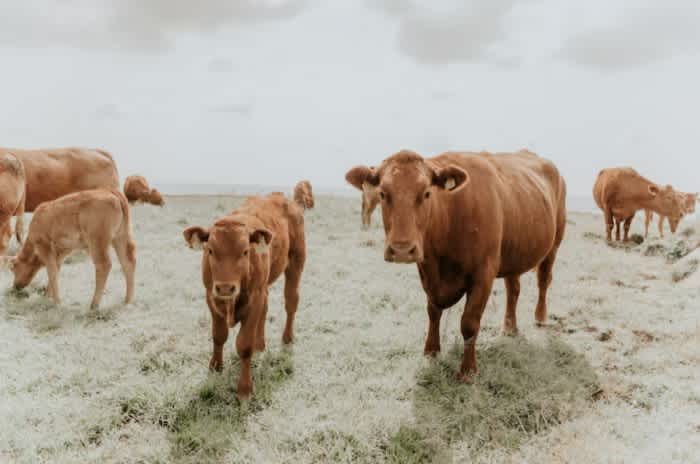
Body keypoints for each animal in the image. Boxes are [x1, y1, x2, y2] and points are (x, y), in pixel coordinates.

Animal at [2, 190, 135, 310]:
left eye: (13, 268)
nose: (16, 286)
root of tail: (112, 193)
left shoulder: (44, 245)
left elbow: (51, 270)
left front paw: (56, 302)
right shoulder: (63, 250)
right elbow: (56, 269)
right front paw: (47, 294)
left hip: (98, 242)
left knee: (104, 265)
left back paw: (94, 305)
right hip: (120, 237)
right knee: (128, 262)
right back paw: (127, 301)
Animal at [183, 192, 306, 398]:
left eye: (245, 251)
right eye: (210, 250)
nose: (225, 288)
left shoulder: (254, 299)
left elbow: (244, 345)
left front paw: (245, 389)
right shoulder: (211, 297)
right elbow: (218, 335)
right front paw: (215, 367)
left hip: (296, 262)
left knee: (291, 301)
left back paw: (287, 338)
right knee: (266, 309)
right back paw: (260, 344)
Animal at [346, 149, 568, 380]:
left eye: (427, 193)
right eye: (382, 193)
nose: (402, 250)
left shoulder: (483, 274)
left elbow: (469, 323)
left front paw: (468, 371)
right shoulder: (428, 274)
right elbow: (433, 312)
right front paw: (431, 351)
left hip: (554, 242)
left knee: (543, 280)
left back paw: (540, 317)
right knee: (513, 289)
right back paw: (509, 328)